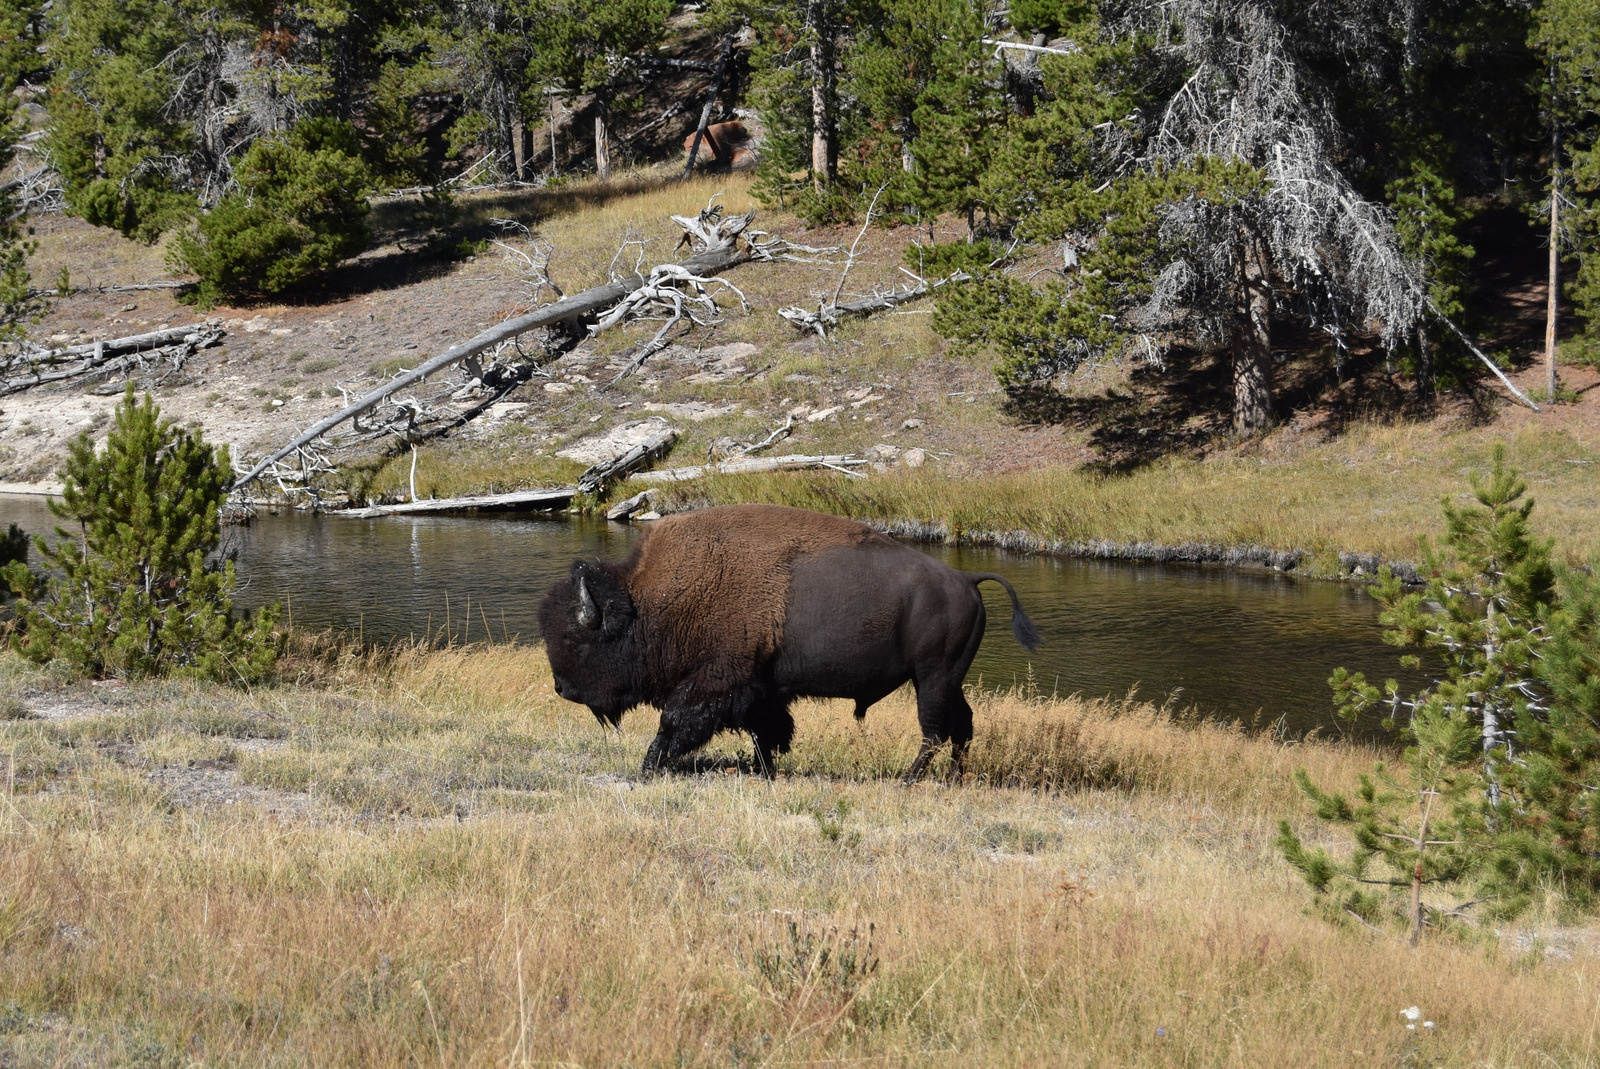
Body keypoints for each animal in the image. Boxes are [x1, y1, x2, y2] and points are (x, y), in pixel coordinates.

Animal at [537, 502, 1036, 777]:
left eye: (577, 640)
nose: (562, 688)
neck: (654, 597)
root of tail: (966, 579)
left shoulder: (717, 680)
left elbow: (675, 722)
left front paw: (648, 766)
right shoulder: (761, 688)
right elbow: (769, 731)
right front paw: (765, 770)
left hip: (931, 677)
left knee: (934, 730)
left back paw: (910, 780)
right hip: (947, 679)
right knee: (962, 725)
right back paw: (953, 777)